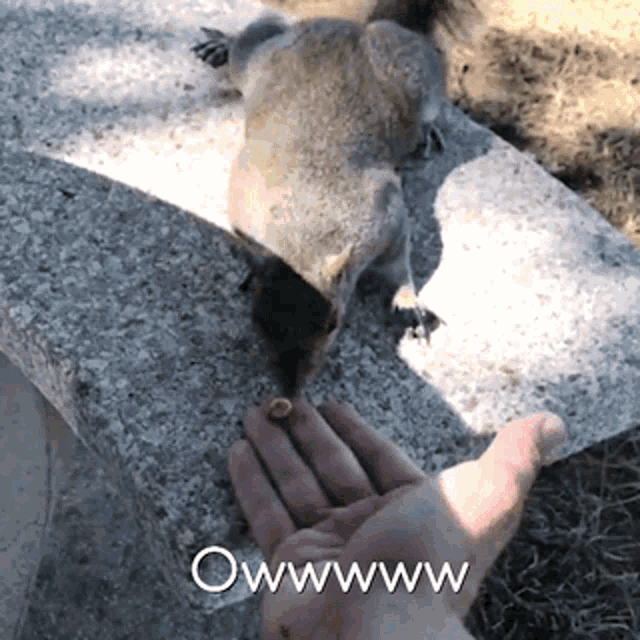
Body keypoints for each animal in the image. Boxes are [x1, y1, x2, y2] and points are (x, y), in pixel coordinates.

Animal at [192, 0, 481, 398]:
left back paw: (427, 133)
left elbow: (400, 262)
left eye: (333, 324)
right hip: (254, 57)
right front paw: (251, 269)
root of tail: (348, 28)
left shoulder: (387, 214)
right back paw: (221, 43)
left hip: (414, 69)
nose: (290, 391)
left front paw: (407, 302)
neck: (304, 228)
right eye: (256, 320)